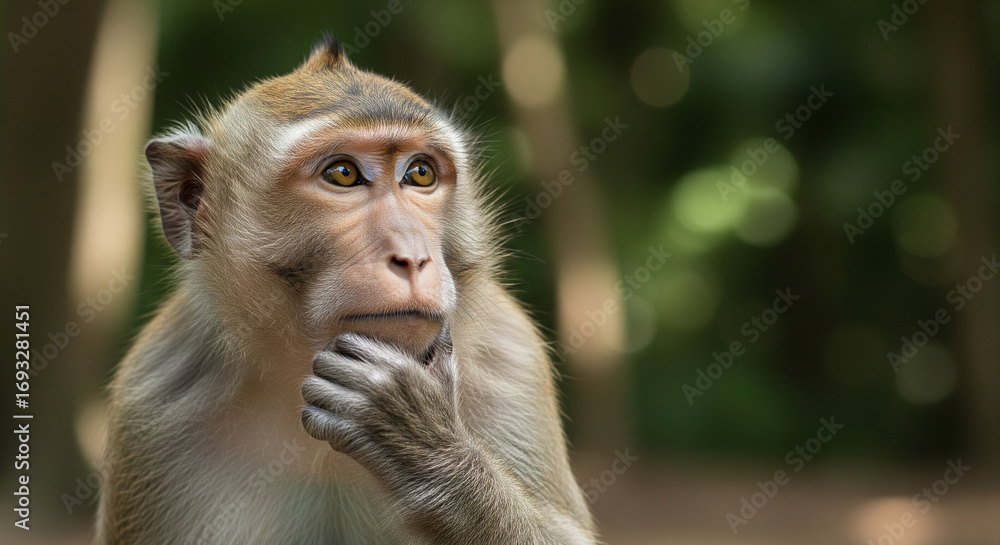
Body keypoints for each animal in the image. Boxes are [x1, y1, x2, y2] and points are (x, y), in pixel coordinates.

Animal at [96, 36, 598, 544]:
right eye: (342, 174)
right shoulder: (153, 404)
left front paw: (420, 443)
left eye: (420, 173)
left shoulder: (512, 362)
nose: (411, 256)